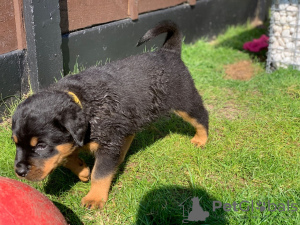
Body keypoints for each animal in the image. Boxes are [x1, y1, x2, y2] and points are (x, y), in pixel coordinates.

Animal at [11, 21, 209, 209]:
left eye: (41, 146)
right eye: (16, 144)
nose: (19, 171)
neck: (85, 105)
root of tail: (168, 51)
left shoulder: (107, 143)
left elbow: (99, 174)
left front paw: (94, 198)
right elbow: (66, 157)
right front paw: (82, 170)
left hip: (185, 100)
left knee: (201, 116)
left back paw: (201, 139)